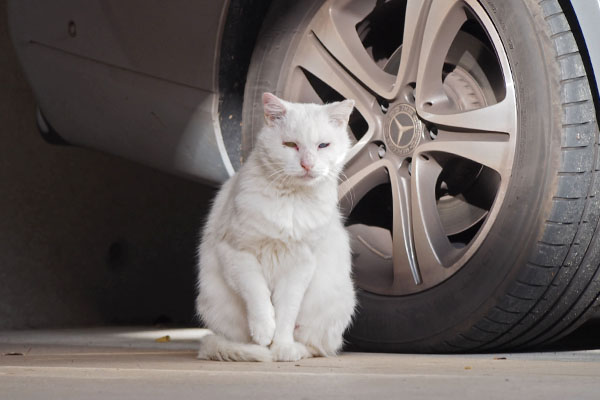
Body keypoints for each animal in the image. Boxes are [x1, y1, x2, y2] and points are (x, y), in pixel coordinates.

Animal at [196, 93, 356, 362]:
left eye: (323, 145)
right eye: (290, 145)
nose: (307, 164)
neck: (291, 200)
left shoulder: (300, 266)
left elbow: (286, 311)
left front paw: (281, 346)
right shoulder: (237, 254)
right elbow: (257, 293)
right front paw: (263, 331)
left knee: (316, 346)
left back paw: (293, 351)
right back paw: (255, 349)